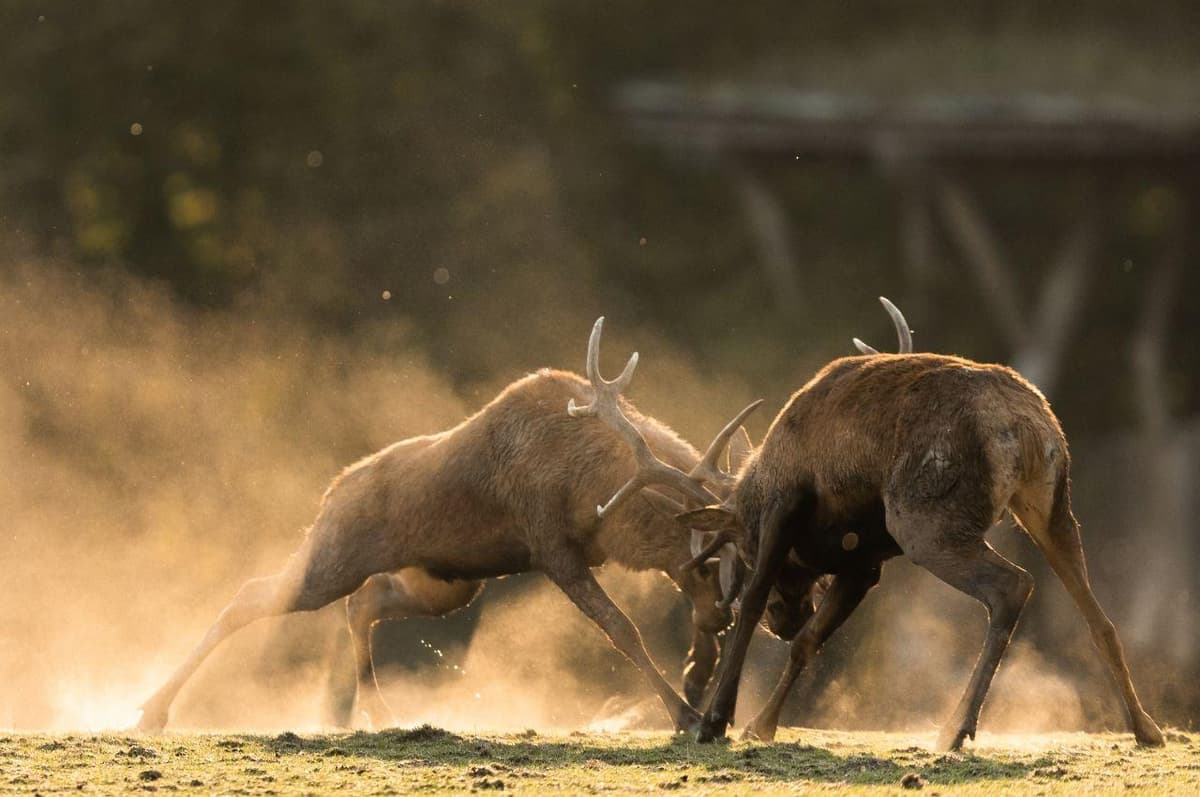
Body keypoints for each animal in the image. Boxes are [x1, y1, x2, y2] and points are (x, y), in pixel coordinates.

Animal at [135, 321, 765, 734]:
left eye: (732, 565)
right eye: (706, 561)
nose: (722, 615)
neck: (595, 488)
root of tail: (331, 489)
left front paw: (699, 682)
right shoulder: (552, 546)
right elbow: (621, 629)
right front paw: (686, 715)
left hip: (447, 582)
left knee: (364, 602)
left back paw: (374, 710)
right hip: (333, 557)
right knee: (254, 595)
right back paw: (152, 709)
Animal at [578, 300, 1165, 751]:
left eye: (738, 551)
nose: (783, 619)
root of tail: (1021, 426)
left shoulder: (787, 508)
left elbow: (751, 607)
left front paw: (717, 722)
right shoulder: (864, 560)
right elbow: (810, 641)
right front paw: (760, 725)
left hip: (925, 518)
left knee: (1013, 585)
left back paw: (955, 728)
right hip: (1051, 504)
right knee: (1097, 614)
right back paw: (1145, 728)